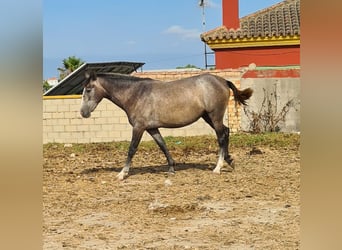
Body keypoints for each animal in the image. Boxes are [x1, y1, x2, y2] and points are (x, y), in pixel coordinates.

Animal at [79, 72, 251, 180]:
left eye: (88, 89)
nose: (83, 113)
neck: (136, 94)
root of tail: (223, 81)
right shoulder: (151, 128)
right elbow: (162, 145)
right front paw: (171, 169)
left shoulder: (139, 127)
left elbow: (132, 149)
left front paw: (122, 173)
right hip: (208, 117)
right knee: (225, 132)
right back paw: (230, 161)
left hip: (214, 116)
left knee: (221, 136)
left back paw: (218, 168)